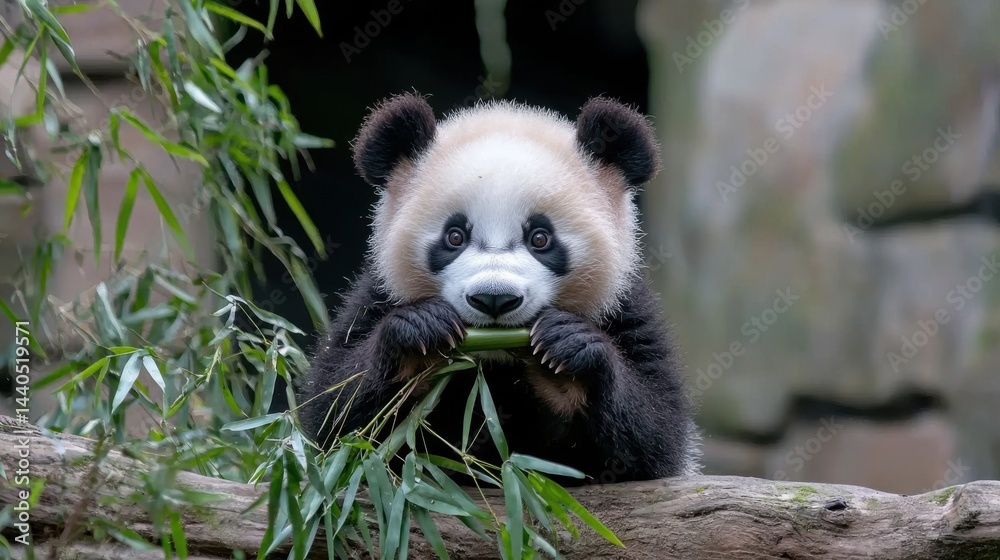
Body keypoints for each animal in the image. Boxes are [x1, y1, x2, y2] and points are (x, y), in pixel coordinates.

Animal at [295, 93, 700, 484]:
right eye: (454, 236)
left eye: (540, 238)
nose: (494, 298)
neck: (496, 357)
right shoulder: (375, 296)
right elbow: (335, 414)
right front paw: (420, 332)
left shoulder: (626, 308)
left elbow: (654, 437)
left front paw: (568, 350)